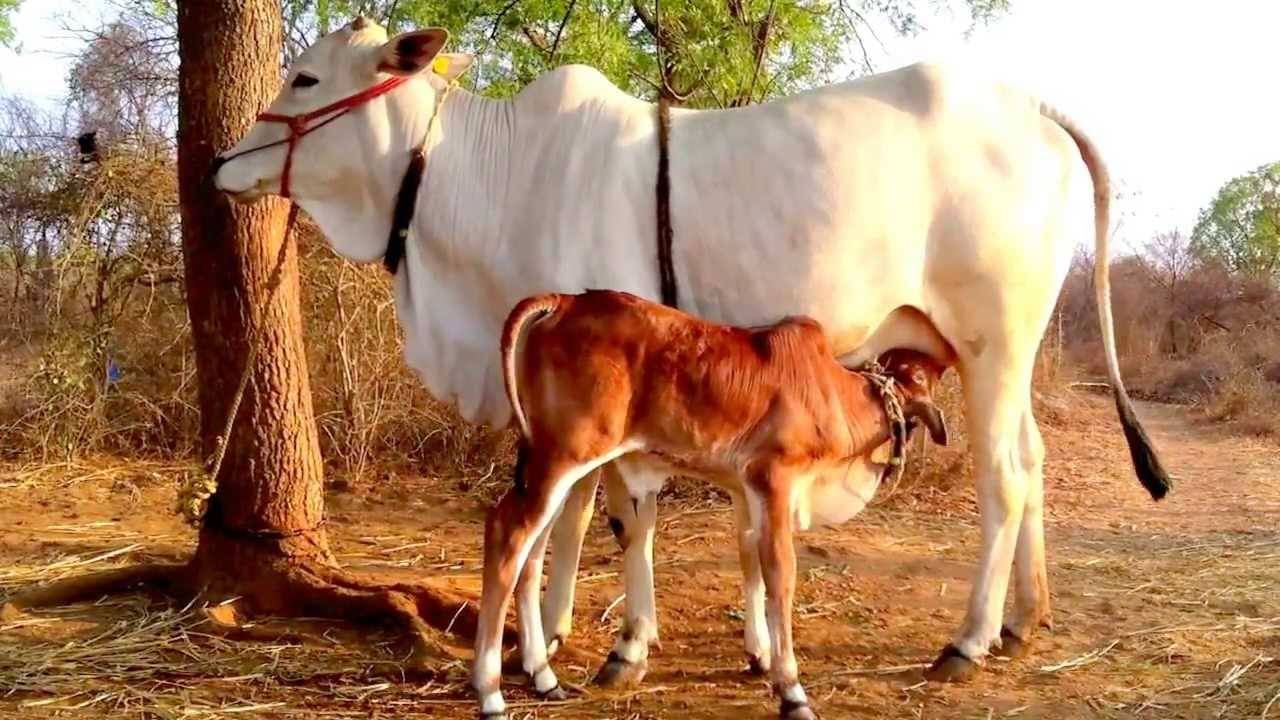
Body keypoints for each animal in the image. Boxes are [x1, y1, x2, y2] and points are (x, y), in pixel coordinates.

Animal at [471, 288, 952, 712]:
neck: (833, 393)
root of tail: (565, 302)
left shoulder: (746, 490)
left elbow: (750, 561)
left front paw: (760, 657)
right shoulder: (774, 481)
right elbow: (780, 576)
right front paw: (792, 692)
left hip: (552, 466)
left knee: (532, 554)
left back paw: (543, 677)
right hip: (565, 456)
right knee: (507, 535)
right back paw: (491, 694)